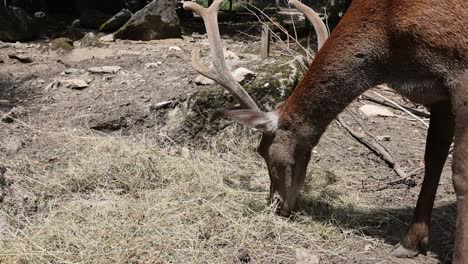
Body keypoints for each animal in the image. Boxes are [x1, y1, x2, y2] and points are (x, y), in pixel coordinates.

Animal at [184, 0, 468, 260]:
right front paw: (410, 243)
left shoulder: (460, 73)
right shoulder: (438, 93)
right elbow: (433, 160)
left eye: (262, 151)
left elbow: (460, 175)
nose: (276, 203)